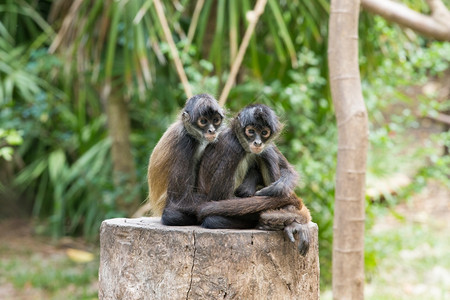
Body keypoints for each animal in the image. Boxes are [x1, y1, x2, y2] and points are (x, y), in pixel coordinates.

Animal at [148, 94, 225, 225]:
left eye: (215, 120)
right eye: (203, 121)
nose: (212, 130)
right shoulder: (184, 142)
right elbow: (178, 200)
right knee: (170, 215)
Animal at [195, 103, 312, 255]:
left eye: (264, 133)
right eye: (251, 131)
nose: (257, 142)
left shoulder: (267, 144)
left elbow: (289, 170)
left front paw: (276, 189)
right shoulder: (233, 146)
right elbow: (218, 198)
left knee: (267, 152)